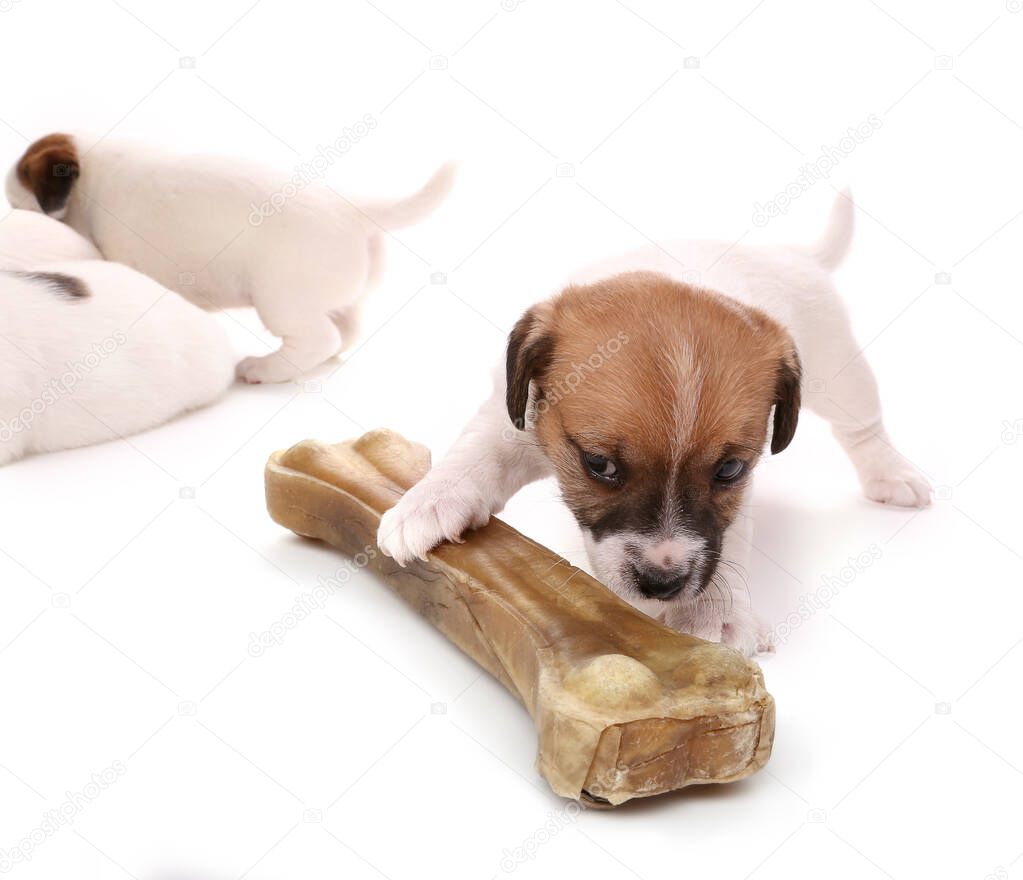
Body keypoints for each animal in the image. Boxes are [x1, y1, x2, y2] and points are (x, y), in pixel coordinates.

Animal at [7, 133, 456, 384]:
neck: (93, 177)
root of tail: (354, 209)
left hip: (281, 301)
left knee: (319, 338)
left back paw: (265, 369)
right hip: (336, 300)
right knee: (345, 332)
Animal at [378, 194, 937, 658]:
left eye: (728, 470)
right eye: (599, 465)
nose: (662, 584)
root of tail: (791, 255)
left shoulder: (737, 495)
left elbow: (728, 534)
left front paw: (713, 612)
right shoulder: (514, 419)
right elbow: (475, 456)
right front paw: (427, 502)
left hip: (841, 370)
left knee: (862, 425)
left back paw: (891, 475)